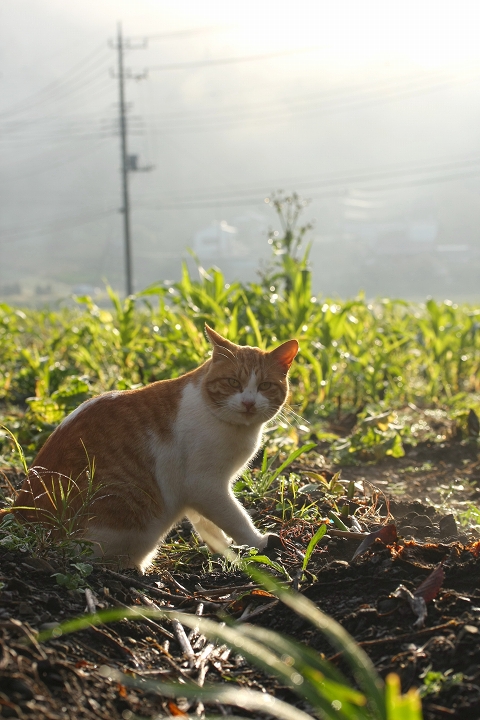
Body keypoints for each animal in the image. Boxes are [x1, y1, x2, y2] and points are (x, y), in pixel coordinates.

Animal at [11, 324, 296, 568]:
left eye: (265, 386)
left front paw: (223, 548)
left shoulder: (198, 495)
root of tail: (20, 520)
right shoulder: (205, 485)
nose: (248, 403)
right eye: (233, 382)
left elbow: (207, 524)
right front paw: (258, 542)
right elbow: (236, 518)